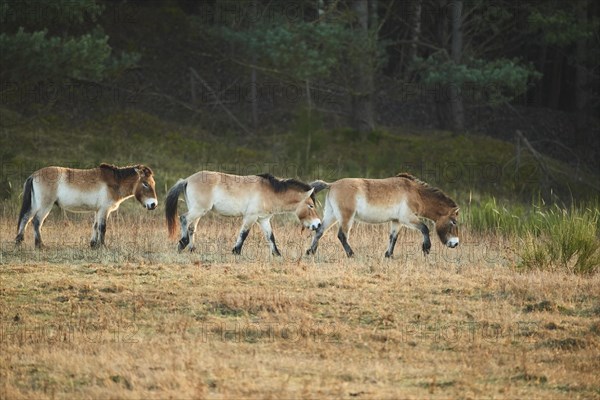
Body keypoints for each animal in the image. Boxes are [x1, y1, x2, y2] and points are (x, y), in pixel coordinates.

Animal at [15, 162, 158, 247]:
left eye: (153, 183)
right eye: (145, 183)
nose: (153, 204)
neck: (115, 182)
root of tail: (34, 175)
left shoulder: (98, 210)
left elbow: (95, 226)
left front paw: (93, 244)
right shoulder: (104, 210)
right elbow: (102, 227)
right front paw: (102, 246)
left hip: (35, 205)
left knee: (25, 219)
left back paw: (19, 242)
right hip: (45, 205)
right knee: (36, 221)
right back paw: (40, 245)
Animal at [164, 170, 322, 255]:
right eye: (311, 206)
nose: (318, 224)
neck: (270, 192)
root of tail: (187, 180)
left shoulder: (263, 220)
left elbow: (270, 237)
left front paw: (277, 254)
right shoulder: (250, 217)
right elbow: (244, 234)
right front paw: (236, 251)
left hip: (199, 211)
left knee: (192, 227)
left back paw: (192, 249)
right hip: (198, 210)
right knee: (184, 219)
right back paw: (182, 243)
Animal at [308, 173, 462, 258]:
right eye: (454, 222)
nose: (455, 243)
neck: (415, 193)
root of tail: (332, 184)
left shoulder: (397, 221)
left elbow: (393, 237)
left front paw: (389, 255)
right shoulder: (407, 218)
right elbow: (424, 228)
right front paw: (426, 249)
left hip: (332, 215)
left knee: (320, 231)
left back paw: (310, 252)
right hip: (346, 217)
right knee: (341, 235)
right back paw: (352, 255)